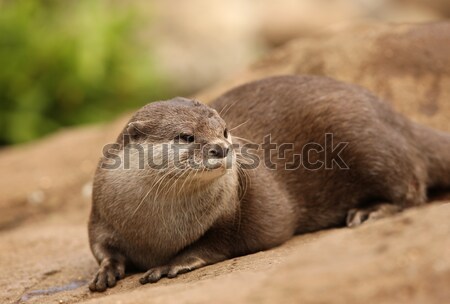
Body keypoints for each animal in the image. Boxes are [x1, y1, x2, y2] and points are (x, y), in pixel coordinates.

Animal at [88, 75, 450, 290]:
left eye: (224, 130)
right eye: (186, 136)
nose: (222, 148)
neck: (157, 229)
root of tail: (397, 117)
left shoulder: (233, 213)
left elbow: (218, 242)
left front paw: (172, 264)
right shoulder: (101, 213)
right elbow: (101, 248)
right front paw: (105, 272)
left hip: (369, 142)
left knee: (411, 186)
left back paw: (368, 211)